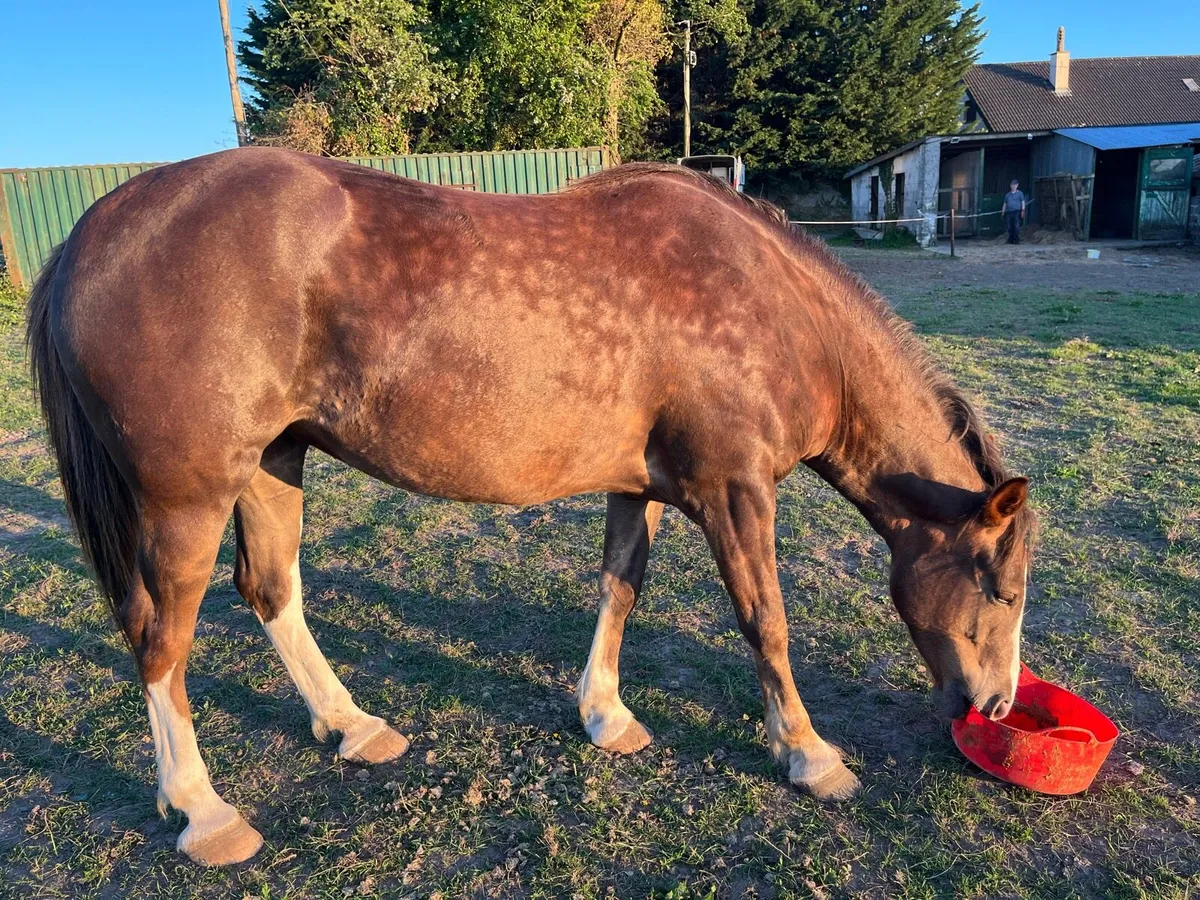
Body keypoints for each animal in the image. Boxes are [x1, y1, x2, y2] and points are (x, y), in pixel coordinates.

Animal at [27, 149, 1034, 866]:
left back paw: (352, 726)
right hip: (188, 497)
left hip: (274, 461)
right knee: (160, 637)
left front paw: (606, 715)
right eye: (1002, 588)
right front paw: (808, 753)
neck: (775, 307)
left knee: (272, 590)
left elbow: (619, 591)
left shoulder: (642, 487)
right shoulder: (733, 489)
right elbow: (767, 622)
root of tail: (88, 235)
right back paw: (203, 811)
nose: (993, 705)